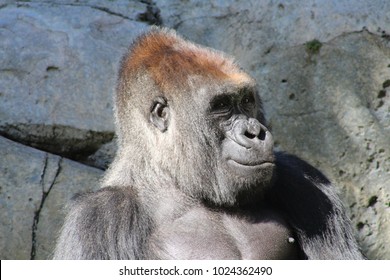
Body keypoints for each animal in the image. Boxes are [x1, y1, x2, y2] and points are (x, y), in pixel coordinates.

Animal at [53, 27, 364, 260]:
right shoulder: (97, 217)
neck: (174, 178)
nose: (254, 132)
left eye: (247, 101)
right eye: (222, 106)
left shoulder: (302, 178)